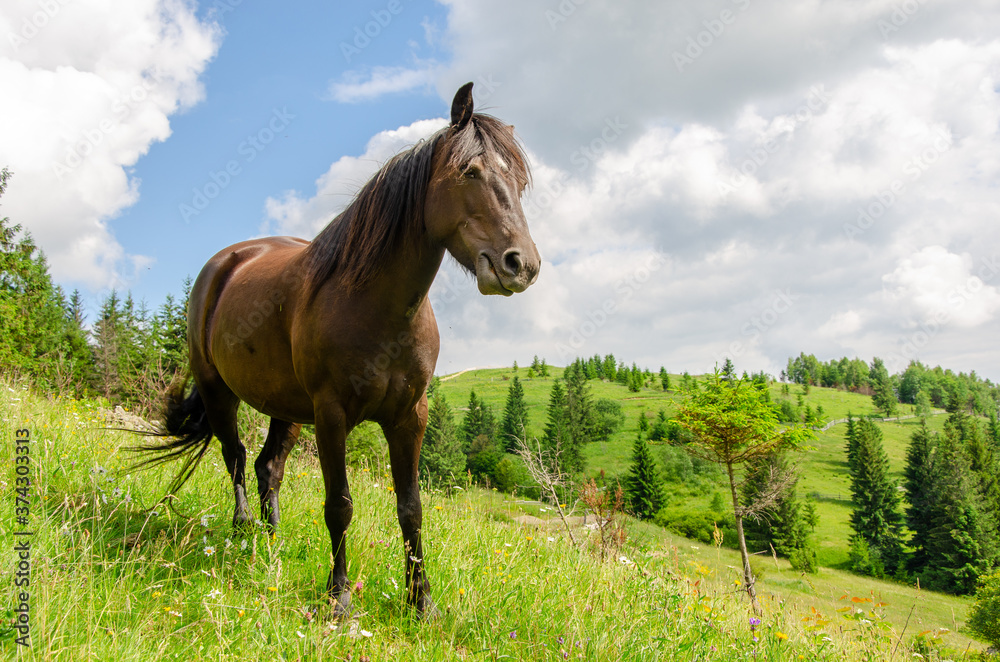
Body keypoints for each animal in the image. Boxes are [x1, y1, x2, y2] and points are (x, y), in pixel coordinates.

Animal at [136, 82, 540, 617]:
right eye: (469, 171)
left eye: (519, 181)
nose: (521, 265)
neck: (375, 306)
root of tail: (224, 263)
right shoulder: (331, 415)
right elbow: (340, 505)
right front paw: (339, 598)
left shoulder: (409, 417)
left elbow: (411, 509)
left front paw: (422, 602)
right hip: (219, 390)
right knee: (236, 456)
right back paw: (244, 530)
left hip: (285, 407)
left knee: (268, 467)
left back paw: (271, 541)